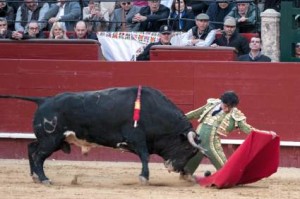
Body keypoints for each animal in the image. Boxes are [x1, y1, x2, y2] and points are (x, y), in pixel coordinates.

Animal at [0, 86, 204, 184]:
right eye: (187, 149)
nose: (175, 168)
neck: (154, 112)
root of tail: (43, 100)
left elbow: (144, 156)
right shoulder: (137, 138)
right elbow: (145, 156)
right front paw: (144, 177)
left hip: (50, 140)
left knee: (31, 148)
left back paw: (35, 176)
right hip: (51, 139)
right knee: (38, 155)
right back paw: (44, 179)